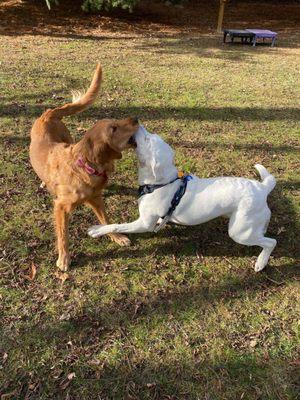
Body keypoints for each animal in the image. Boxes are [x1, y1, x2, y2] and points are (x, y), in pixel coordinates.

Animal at [29, 64, 138, 270]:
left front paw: (117, 236)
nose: (136, 118)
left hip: (67, 137)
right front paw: (64, 259)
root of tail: (48, 114)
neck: (85, 166)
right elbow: (63, 236)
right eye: (113, 128)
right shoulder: (60, 207)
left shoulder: (96, 199)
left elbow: (105, 220)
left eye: (116, 122)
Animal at [89, 126, 276, 270]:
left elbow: (116, 225)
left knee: (271, 242)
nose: (137, 123)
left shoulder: (143, 223)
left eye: (147, 139)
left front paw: (97, 230)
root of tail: (262, 188)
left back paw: (261, 262)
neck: (160, 182)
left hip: (239, 232)